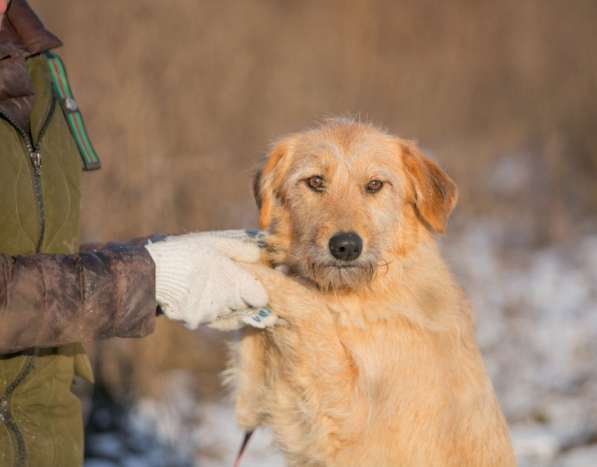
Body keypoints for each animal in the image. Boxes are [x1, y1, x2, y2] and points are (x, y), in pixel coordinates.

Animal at [226, 119, 516, 467]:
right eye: (315, 181)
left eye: (375, 185)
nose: (346, 247)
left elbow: (309, 310)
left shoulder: (352, 418)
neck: (358, 295)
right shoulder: (285, 413)